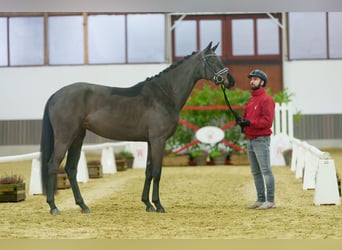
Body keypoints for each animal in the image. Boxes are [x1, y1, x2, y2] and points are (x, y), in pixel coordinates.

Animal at [40, 42, 235, 214]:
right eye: (212, 60)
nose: (230, 81)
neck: (164, 94)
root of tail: (56, 95)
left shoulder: (150, 141)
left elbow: (148, 171)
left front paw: (148, 204)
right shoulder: (158, 140)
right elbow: (157, 171)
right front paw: (159, 205)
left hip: (77, 137)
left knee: (71, 169)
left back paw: (83, 206)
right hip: (65, 137)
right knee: (52, 165)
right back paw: (53, 207)